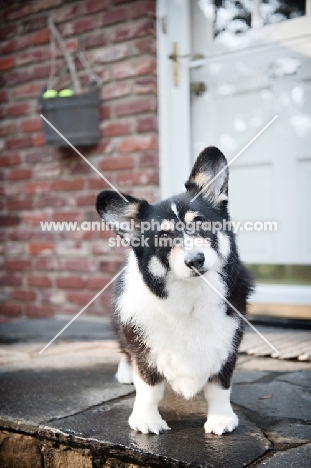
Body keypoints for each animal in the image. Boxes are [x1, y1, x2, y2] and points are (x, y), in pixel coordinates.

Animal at [95, 146, 254, 436]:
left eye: (200, 222)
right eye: (163, 236)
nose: (196, 260)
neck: (191, 295)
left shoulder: (228, 347)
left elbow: (220, 387)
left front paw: (221, 418)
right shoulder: (143, 352)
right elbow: (148, 388)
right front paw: (147, 420)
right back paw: (125, 373)